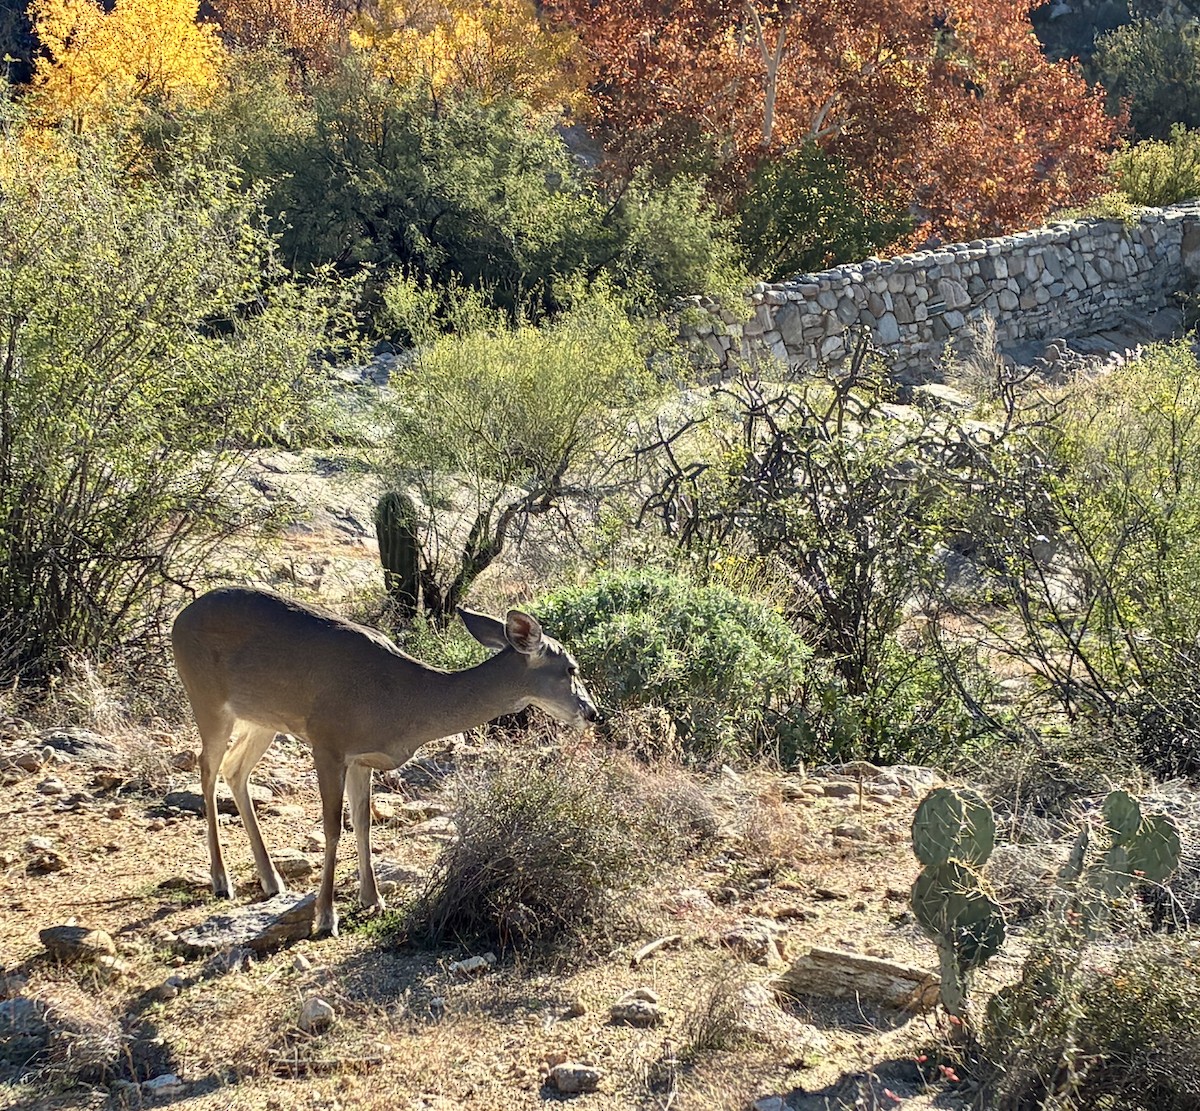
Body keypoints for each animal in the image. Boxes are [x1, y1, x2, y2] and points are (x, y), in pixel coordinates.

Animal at [171, 586, 599, 938]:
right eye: (571, 668)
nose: (592, 713)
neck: (403, 700)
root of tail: (179, 618)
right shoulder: (327, 741)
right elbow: (332, 828)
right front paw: (326, 917)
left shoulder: (362, 759)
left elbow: (363, 824)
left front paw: (372, 898)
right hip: (206, 696)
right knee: (207, 769)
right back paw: (221, 879)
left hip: (263, 718)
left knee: (235, 769)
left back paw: (271, 879)